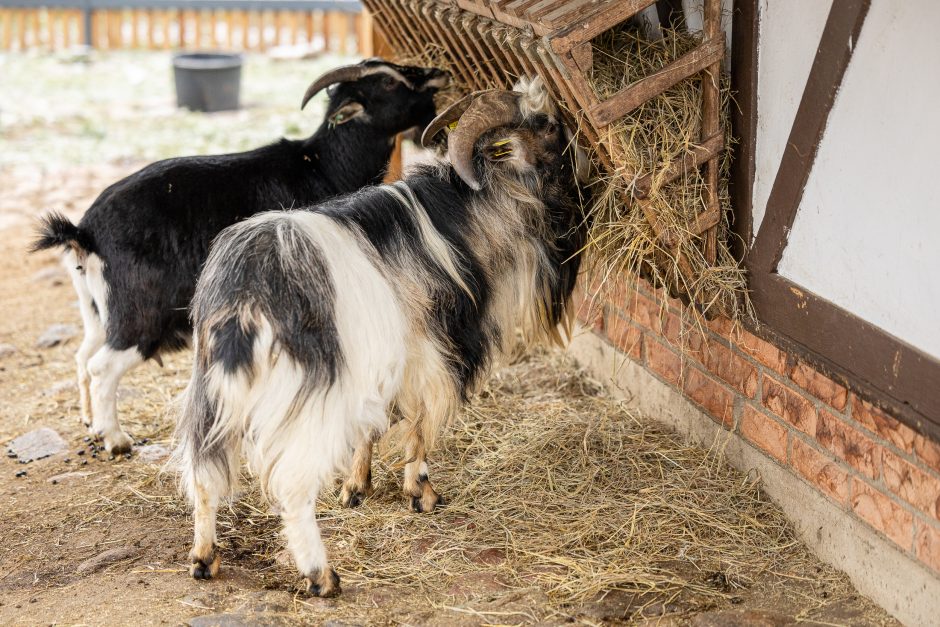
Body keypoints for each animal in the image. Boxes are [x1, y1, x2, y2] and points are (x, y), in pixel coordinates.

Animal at [31, 59, 450, 454]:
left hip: (96, 308)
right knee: (102, 366)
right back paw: (116, 439)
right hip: (140, 313)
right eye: (388, 82)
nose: (439, 73)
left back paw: (91, 423)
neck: (322, 165)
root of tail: (85, 231)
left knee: (83, 356)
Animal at [175, 78, 588, 600]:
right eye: (549, 130)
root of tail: (247, 294)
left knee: (203, 474)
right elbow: (421, 421)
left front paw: (357, 487)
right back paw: (321, 576)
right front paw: (421, 493)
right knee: (292, 484)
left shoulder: (381, 362)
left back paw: (204, 558)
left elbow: (372, 425)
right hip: (309, 395)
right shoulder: (429, 351)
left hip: (210, 390)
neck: (462, 215)